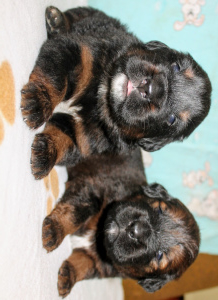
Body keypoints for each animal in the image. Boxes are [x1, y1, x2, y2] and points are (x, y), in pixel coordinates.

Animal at [20, 7, 211, 179]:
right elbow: (56, 78)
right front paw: (38, 103)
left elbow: (65, 138)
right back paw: (56, 20)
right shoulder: (78, 52)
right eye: (176, 66)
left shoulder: (85, 135)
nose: (151, 88)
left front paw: (45, 155)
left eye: (171, 120)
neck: (102, 96)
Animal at [41, 148, 200, 298]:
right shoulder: (93, 189)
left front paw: (68, 276)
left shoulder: (104, 265)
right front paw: (55, 230)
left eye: (160, 256)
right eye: (160, 209)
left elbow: (85, 263)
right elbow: (75, 212)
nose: (136, 229)